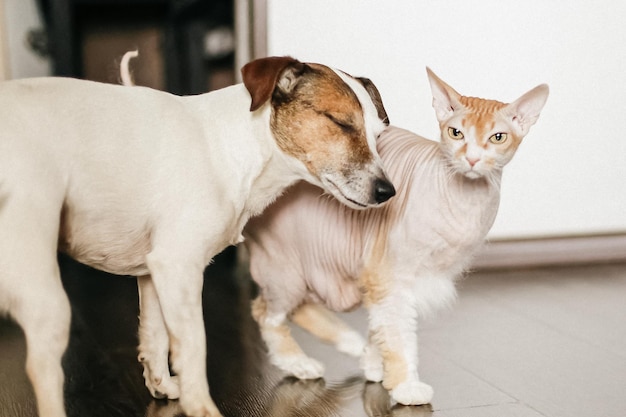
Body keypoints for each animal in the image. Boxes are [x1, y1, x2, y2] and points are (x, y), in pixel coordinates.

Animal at [0, 55, 392, 416]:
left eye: (379, 135)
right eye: (341, 123)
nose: (388, 192)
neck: (234, 146)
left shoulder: (153, 271)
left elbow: (155, 337)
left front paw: (162, 386)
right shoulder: (179, 266)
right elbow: (192, 347)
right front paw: (200, 406)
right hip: (45, 293)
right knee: (43, 370)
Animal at [241, 67, 544, 404]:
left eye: (497, 137)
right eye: (456, 134)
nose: (473, 159)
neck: (465, 200)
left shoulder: (384, 277)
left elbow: (382, 327)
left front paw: (376, 365)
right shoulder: (389, 274)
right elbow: (399, 335)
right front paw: (404, 385)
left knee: (298, 308)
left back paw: (350, 346)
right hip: (287, 268)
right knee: (264, 311)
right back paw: (298, 362)